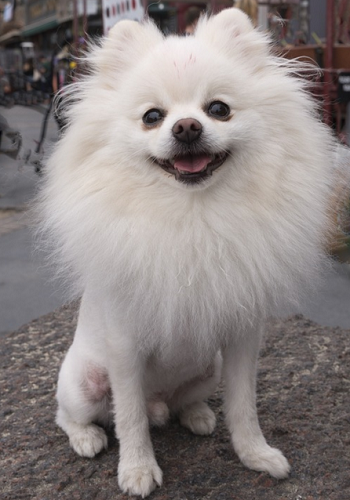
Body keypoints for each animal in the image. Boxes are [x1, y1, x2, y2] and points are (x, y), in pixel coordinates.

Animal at [37, 6, 342, 496]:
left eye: (218, 109)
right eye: (152, 116)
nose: (186, 127)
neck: (194, 215)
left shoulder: (241, 338)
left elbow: (243, 406)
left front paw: (255, 454)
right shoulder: (124, 346)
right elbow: (130, 416)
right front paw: (137, 470)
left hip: (207, 368)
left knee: (178, 404)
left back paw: (195, 414)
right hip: (83, 382)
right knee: (73, 415)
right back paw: (87, 437)